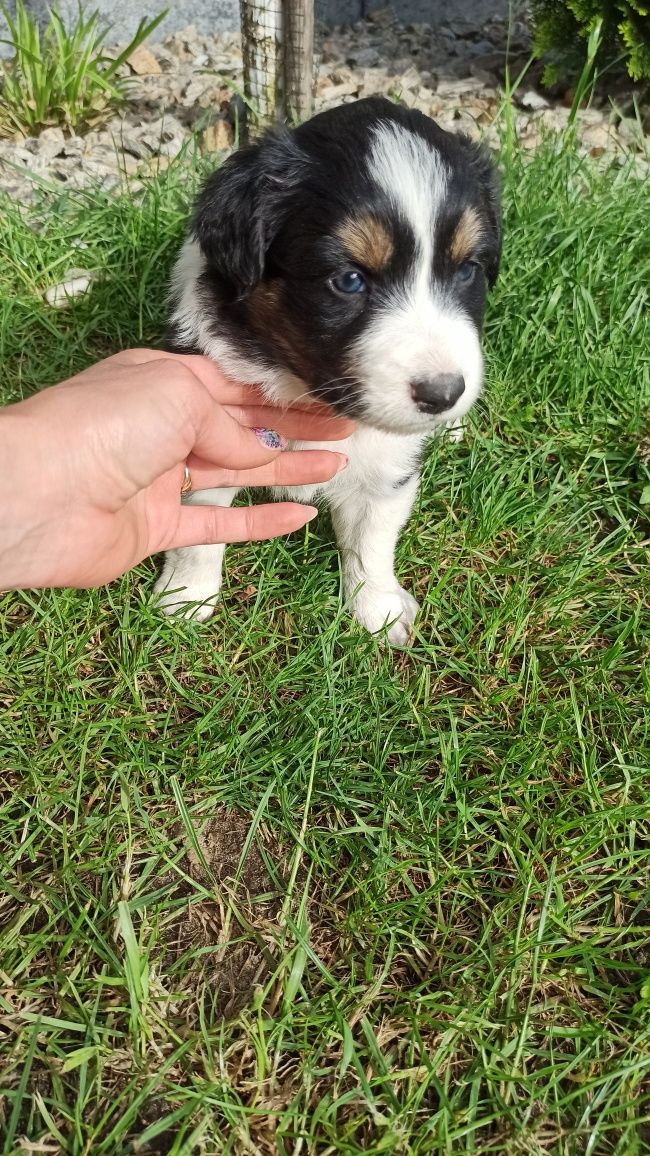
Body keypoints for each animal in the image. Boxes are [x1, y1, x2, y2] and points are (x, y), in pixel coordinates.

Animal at [153, 95, 497, 647]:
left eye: (467, 270)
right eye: (349, 280)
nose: (443, 394)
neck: (307, 394)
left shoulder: (388, 466)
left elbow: (373, 539)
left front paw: (378, 610)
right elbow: (200, 532)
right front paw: (185, 599)